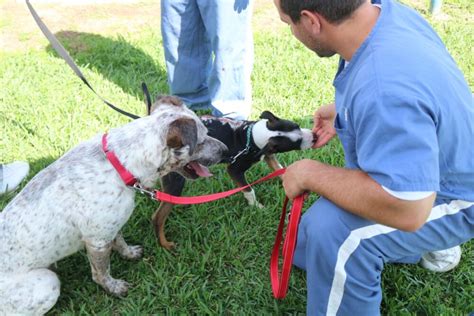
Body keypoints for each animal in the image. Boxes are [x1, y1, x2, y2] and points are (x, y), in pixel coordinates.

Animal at [0, 95, 227, 314]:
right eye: (201, 140)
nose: (225, 150)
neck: (120, 164)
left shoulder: (111, 225)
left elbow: (120, 241)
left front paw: (129, 253)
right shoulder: (97, 241)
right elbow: (101, 272)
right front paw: (114, 288)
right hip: (47, 283)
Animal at [152, 110, 314, 249]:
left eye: (296, 125)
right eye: (296, 143)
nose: (315, 136)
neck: (252, 137)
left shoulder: (268, 154)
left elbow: (278, 168)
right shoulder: (234, 170)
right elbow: (249, 189)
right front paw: (256, 206)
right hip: (176, 180)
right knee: (158, 217)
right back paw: (165, 244)